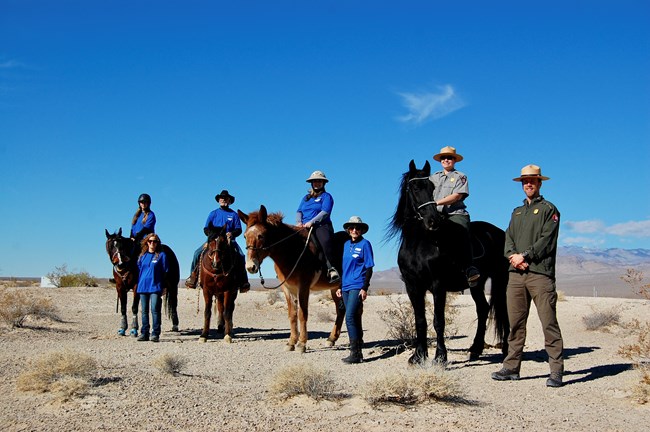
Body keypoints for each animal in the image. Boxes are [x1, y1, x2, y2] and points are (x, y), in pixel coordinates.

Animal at [238, 205, 346, 352]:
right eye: (245, 236)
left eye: (261, 235)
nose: (250, 267)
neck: (292, 251)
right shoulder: (287, 288)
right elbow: (292, 314)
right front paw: (291, 342)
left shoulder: (303, 286)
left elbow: (302, 314)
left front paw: (302, 343)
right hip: (335, 288)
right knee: (341, 310)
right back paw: (331, 339)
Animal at [384, 161, 506, 364]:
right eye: (415, 188)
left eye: (432, 187)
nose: (432, 220)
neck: (420, 242)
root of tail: (500, 232)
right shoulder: (413, 286)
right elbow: (420, 320)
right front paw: (419, 355)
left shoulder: (438, 285)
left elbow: (438, 321)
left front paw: (440, 356)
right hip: (477, 284)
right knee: (483, 309)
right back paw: (475, 349)